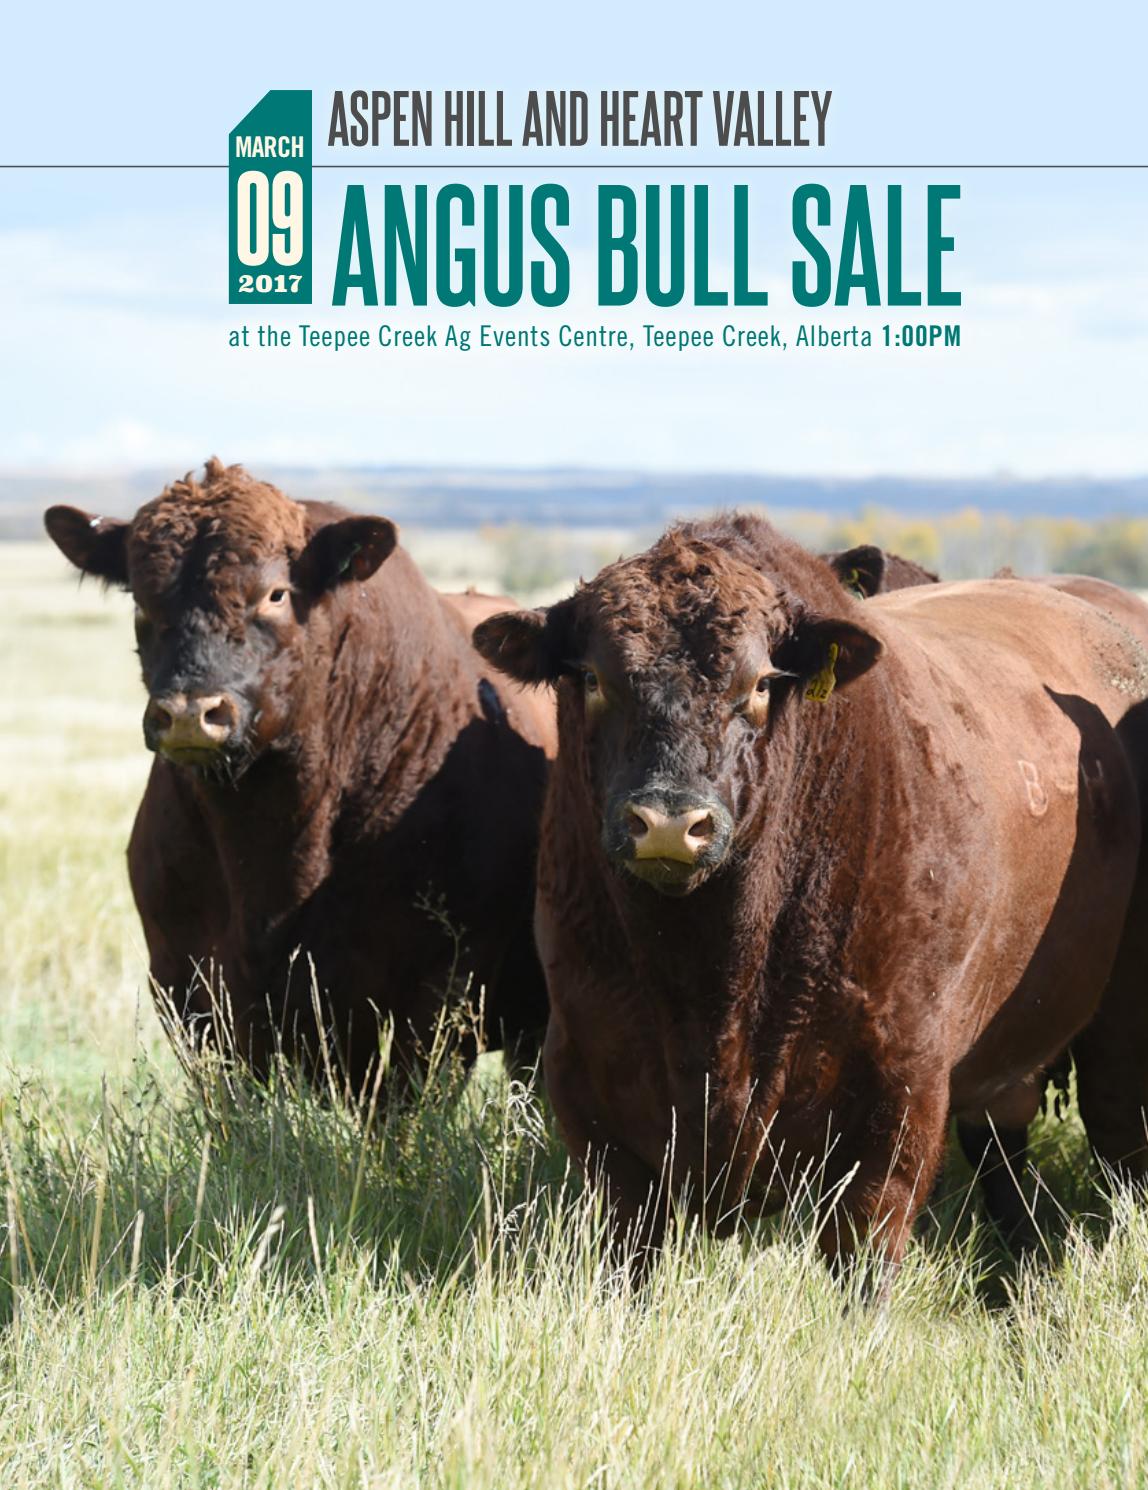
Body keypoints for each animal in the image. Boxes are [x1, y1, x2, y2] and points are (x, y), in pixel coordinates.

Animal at [473, 512, 1148, 1286]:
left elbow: (864, 1258)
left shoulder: (898, 1101)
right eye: (590, 676)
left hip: (1118, 1039)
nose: (669, 821)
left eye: (763, 682)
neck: (710, 985)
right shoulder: (592, 1087)